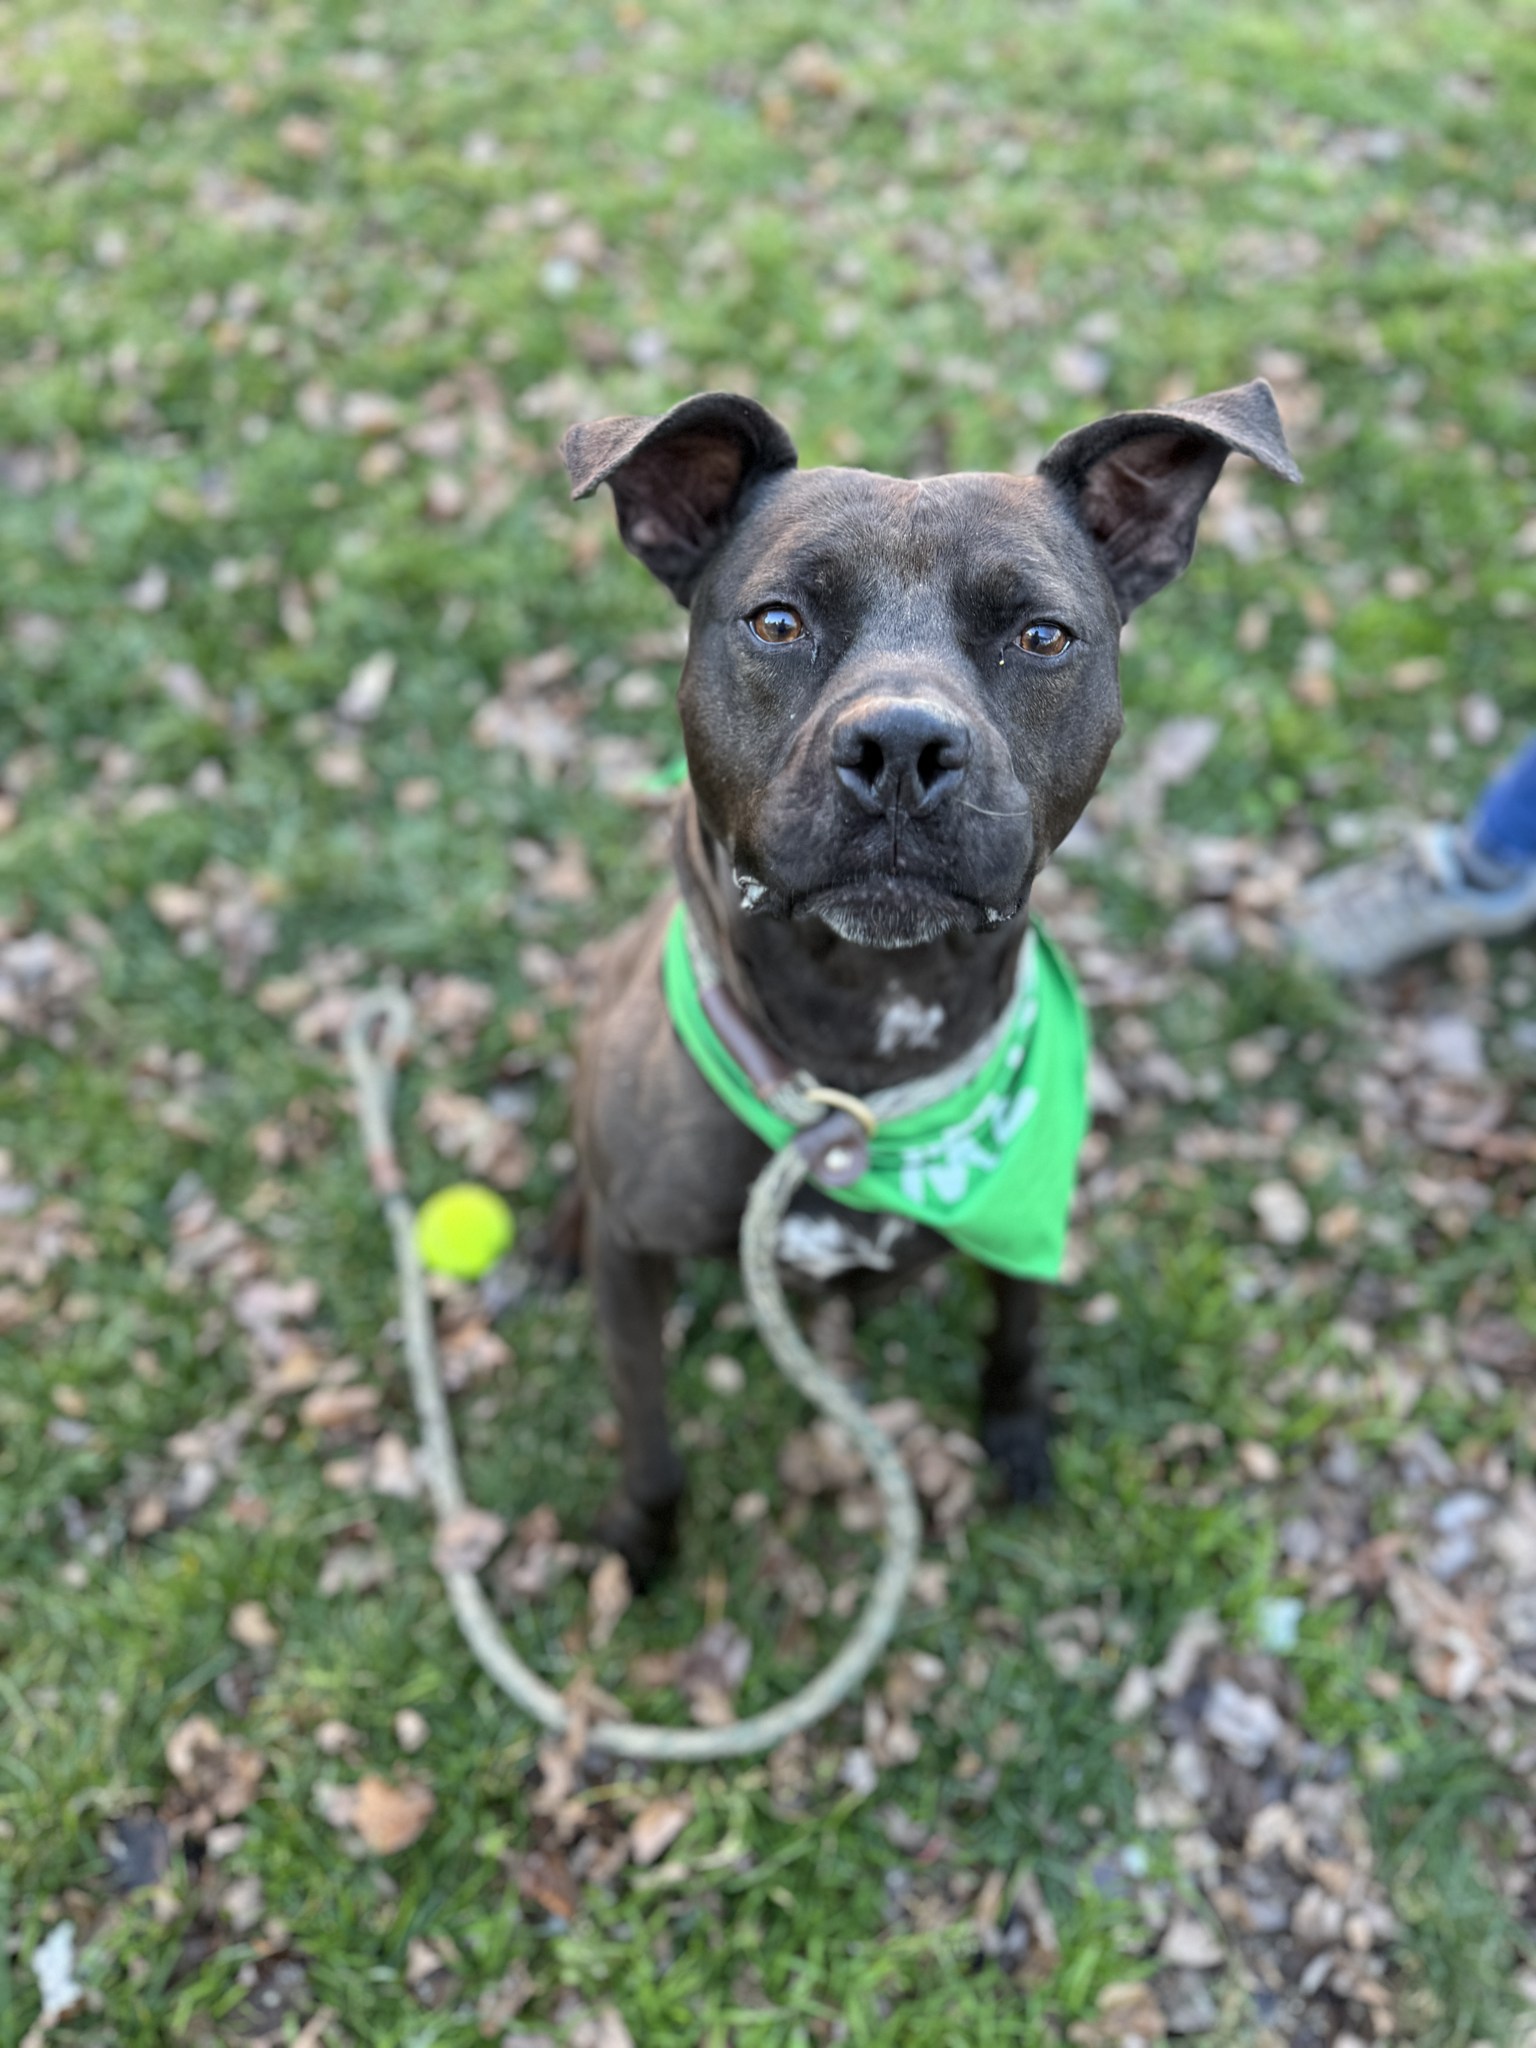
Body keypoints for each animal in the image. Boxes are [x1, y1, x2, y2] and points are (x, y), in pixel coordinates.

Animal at [561, 385, 1294, 1572]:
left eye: (1041, 636)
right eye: (778, 622)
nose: (902, 745)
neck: (856, 1068)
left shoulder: (1027, 1225)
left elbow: (1019, 1333)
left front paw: (1018, 1436)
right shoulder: (633, 1264)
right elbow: (649, 1433)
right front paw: (640, 1543)